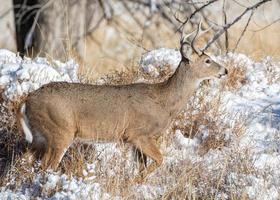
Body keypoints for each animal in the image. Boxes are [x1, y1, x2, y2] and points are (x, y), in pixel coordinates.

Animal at [16, 21, 228, 183]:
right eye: (208, 60)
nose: (225, 70)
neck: (164, 102)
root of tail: (27, 101)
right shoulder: (138, 133)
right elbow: (160, 160)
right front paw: (135, 182)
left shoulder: (134, 141)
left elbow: (143, 166)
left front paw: (136, 183)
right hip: (60, 131)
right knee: (47, 166)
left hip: (40, 136)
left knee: (25, 160)